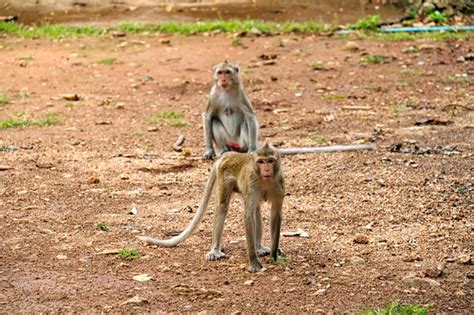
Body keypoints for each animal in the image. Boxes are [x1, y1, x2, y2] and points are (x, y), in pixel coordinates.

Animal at [138, 144, 286, 272]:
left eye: (270, 161)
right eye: (261, 162)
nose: (266, 169)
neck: (265, 180)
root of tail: (229, 154)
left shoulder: (279, 185)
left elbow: (275, 215)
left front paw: (274, 255)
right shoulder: (251, 184)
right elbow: (248, 216)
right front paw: (253, 261)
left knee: (256, 210)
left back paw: (259, 247)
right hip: (225, 177)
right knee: (223, 206)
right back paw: (215, 250)